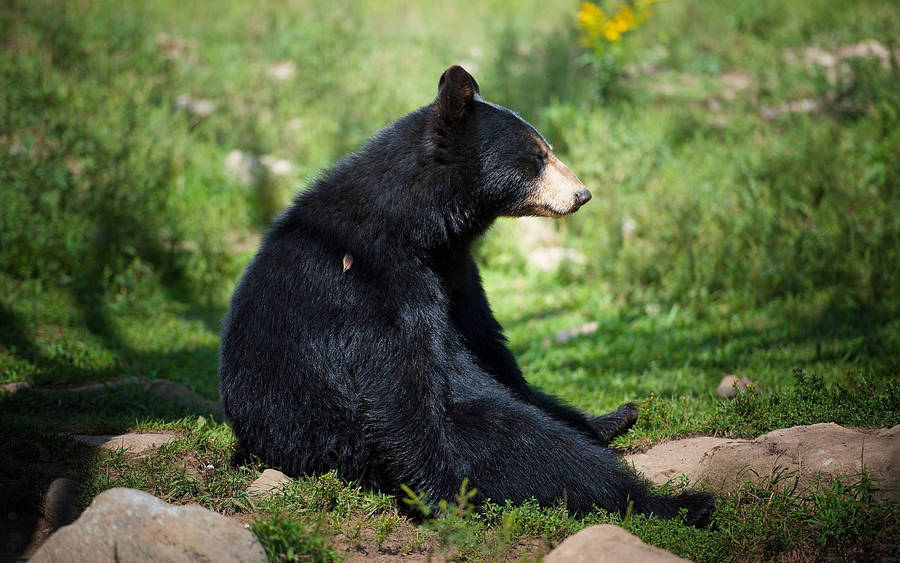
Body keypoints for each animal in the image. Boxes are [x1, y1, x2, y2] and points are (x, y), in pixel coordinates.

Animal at [219, 65, 714, 526]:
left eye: (548, 149)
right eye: (537, 156)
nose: (582, 194)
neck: (418, 226)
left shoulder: (455, 272)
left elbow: (488, 345)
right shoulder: (369, 281)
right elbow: (398, 384)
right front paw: (445, 499)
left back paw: (614, 418)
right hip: (339, 441)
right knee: (532, 447)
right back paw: (678, 502)